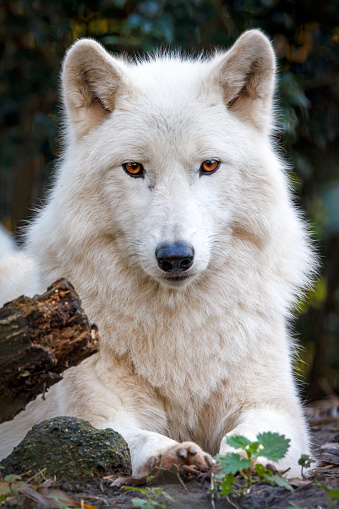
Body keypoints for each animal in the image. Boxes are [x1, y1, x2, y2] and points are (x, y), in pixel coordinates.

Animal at [0, 30, 316, 476]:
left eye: (209, 165)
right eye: (134, 168)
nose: (175, 256)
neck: (178, 327)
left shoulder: (278, 411)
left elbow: (254, 439)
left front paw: (240, 460)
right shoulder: (92, 416)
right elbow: (125, 440)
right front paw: (172, 455)